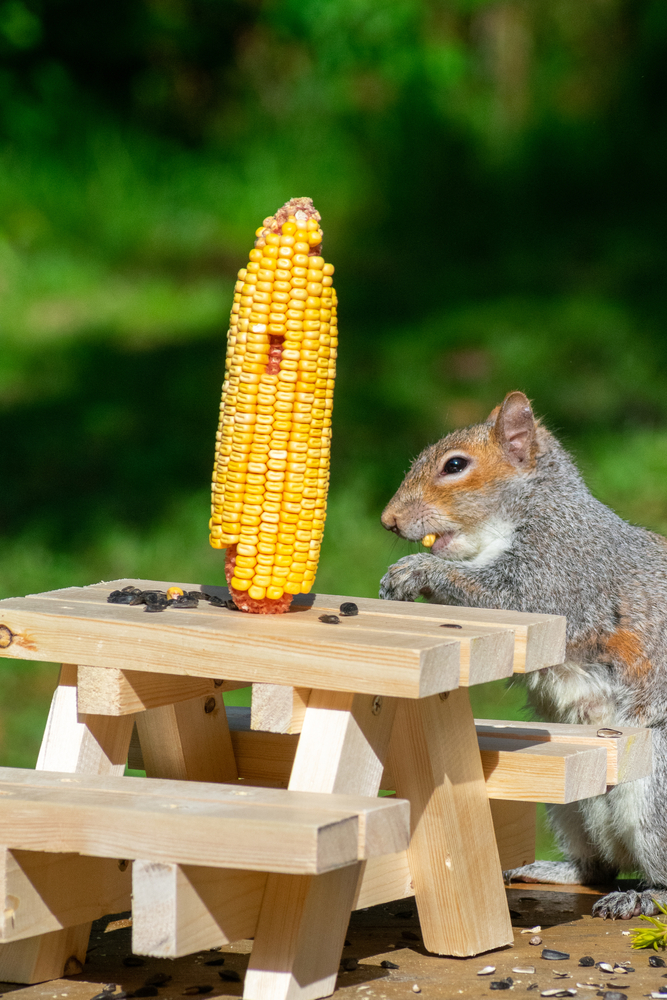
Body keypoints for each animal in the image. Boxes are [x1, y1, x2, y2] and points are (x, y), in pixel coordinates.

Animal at [378, 386, 667, 916]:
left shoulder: (561, 569)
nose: (389, 521)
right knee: (596, 868)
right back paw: (552, 869)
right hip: (569, 803)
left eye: (455, 465)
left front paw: (416, 570)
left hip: (655, 788)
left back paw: (645, 896)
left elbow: (510, 599)